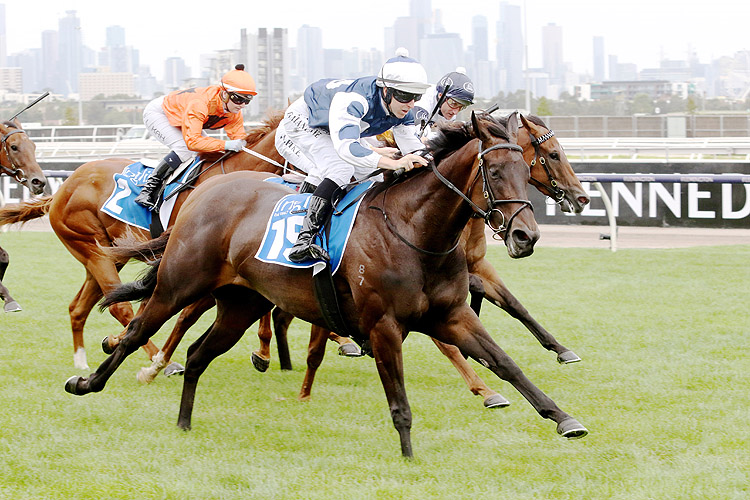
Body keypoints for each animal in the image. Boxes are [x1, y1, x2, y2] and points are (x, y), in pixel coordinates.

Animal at [64, 112, 592, 458]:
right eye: (496, 171)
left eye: (525, 168)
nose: (526, 236)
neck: (415, 230)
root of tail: (202, 195)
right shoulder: (384, 325)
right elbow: (400, 399)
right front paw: (409, 457)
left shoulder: (452, 315)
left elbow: (506, 363)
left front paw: (564, 417)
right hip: (179, 284)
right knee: (138, 330)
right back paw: (91, 380)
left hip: (240, 303)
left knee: (197, 353)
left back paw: (184, 422)